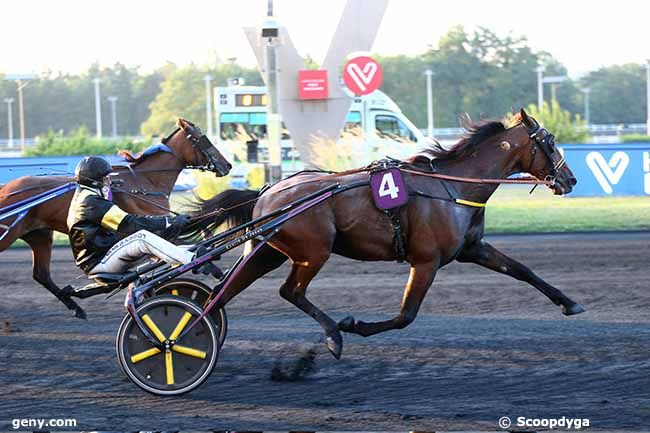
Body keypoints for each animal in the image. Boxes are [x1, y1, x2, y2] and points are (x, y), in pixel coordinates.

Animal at [0, 118, 232, 318]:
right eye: (202, 138)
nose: (227, 165)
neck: (144, 182)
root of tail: (5, 189)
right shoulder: (151, 225)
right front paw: (209, 263)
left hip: (40, 236)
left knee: (41, 274)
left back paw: (75, 307)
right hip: (9, 234)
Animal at [186, 109, 584, 358]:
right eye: (549, 142)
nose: (570, 180)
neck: (451, 187)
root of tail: (268, 192)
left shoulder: (473, 248)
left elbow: (522, 270)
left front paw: (569, 302)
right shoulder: (426, 261)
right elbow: (406, 315)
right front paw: (355, 324)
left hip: (267, 251)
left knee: (223, 293)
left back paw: (196, 331)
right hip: (313, 251)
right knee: (290, 291)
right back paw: (333, 336)